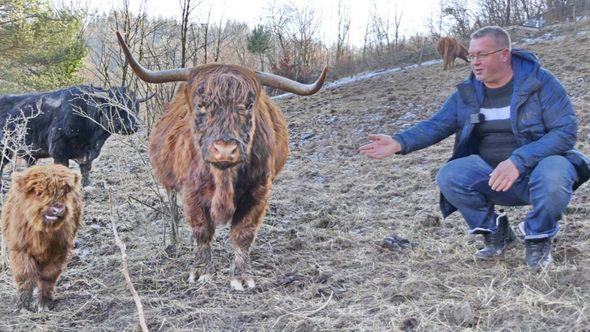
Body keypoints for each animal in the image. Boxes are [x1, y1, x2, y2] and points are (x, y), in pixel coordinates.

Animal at [0, 84, 150, 185]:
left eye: (134, 107)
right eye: (116, 107)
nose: (134, 125)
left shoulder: (88, 156)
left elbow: (86, 172)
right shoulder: (59, 153)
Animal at [1, 165, 82, 312]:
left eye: (64, 192)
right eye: (39, 193)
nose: (58, 209)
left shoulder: (59, 252)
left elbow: (48, 277)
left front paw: (43, 304)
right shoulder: (20, 249)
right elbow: (25, 276)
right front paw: (23, 306)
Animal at [115, 31, 328, 290]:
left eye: (248, 105)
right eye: (201, 105)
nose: (225, 150)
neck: (223, 178)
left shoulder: (259, 191)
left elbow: (244, 233)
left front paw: (242, 276)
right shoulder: (191, 192)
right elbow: (202, 230)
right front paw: (201, 272)